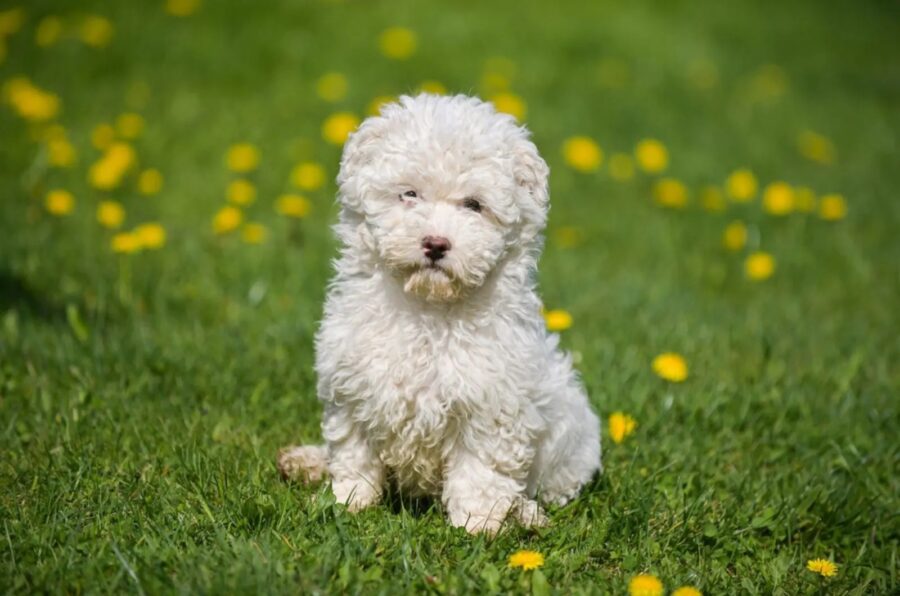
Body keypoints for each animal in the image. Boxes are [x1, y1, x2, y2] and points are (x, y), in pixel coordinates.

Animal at [280, 94, 604, 536]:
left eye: (474, 205)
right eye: (409, 194)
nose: (436, 243)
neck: (429, 308)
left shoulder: (491, 405)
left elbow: (480, 470)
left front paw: (478, 524)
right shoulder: (353, 385)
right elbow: (353, 452)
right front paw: (348, 502)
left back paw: (524, 513)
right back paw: (307, 462)